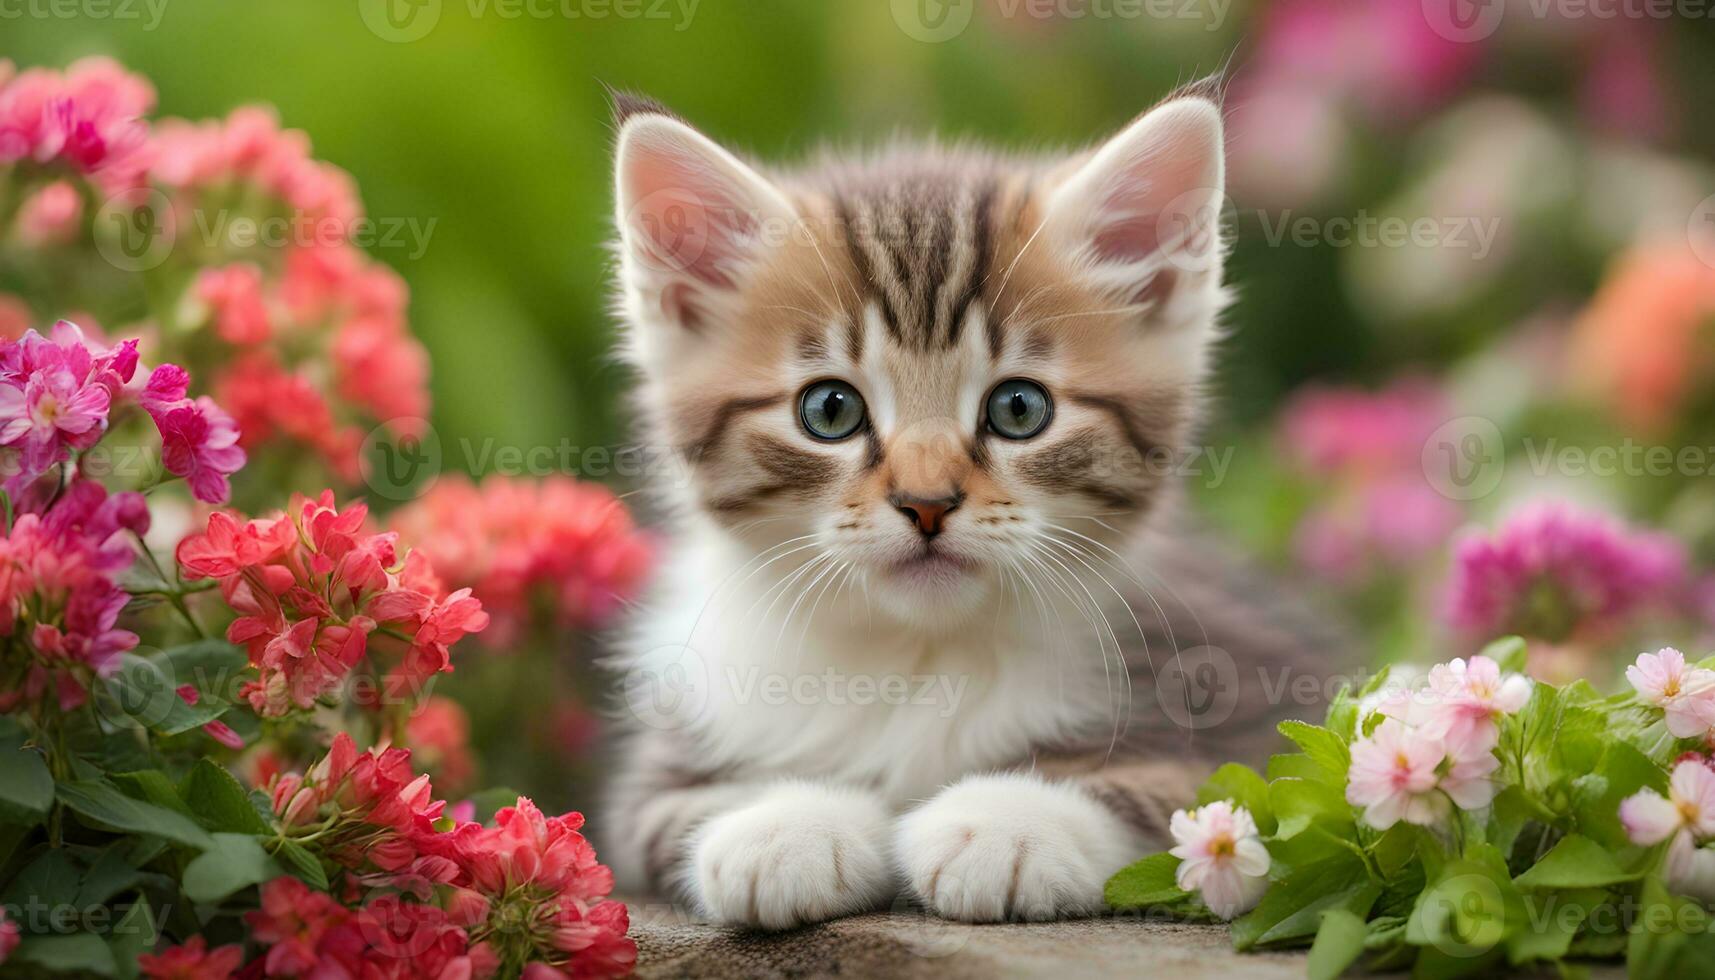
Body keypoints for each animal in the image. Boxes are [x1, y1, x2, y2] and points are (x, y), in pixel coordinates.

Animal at [600, 82, 1337, 926]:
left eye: (1018, 409)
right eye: (829, 411)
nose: (926, 503)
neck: (922, 654)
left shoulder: (1252, 708)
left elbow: (1192, 801)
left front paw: (1007, 823)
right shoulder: (653, 775)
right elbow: (677, 808)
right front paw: (785, 825)